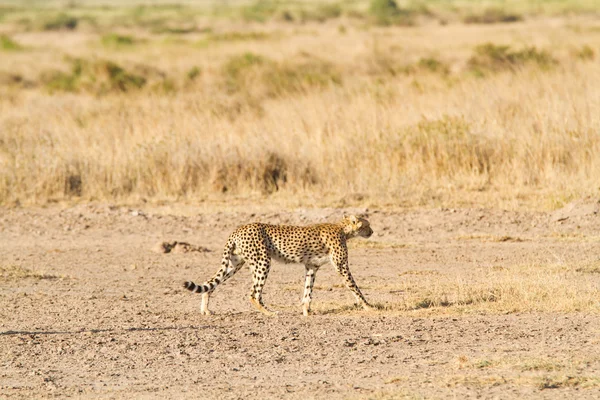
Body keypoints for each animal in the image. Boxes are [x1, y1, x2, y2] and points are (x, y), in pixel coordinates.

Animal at [182, 214, 376, 318]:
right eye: (367, 224)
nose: (372, 232)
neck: (343, 229)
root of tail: (238, 229)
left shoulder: (311, 267)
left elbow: (307, 292)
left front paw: (306, 311)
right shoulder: (341, 266)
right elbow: (355, 288)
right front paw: (370, 307)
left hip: (234, 264)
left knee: (210, 283)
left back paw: (205, 309)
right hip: (262, 261)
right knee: (253, 293)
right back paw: (269, 312)